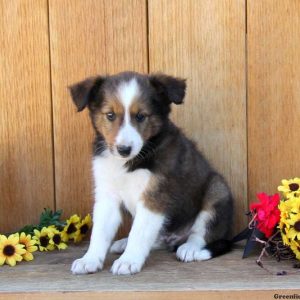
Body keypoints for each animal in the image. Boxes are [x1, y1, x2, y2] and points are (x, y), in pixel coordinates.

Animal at [69, 71, 233, 276]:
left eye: (141, 116)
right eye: (110, 115)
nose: (124, 149)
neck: (130, 162)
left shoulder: (154, 197)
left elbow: (138, 233)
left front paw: (128, 261)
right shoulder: (107, 195)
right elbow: (100, 232)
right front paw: (89, 260)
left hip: (217, 190)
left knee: (202, 232)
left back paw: (190, 249)